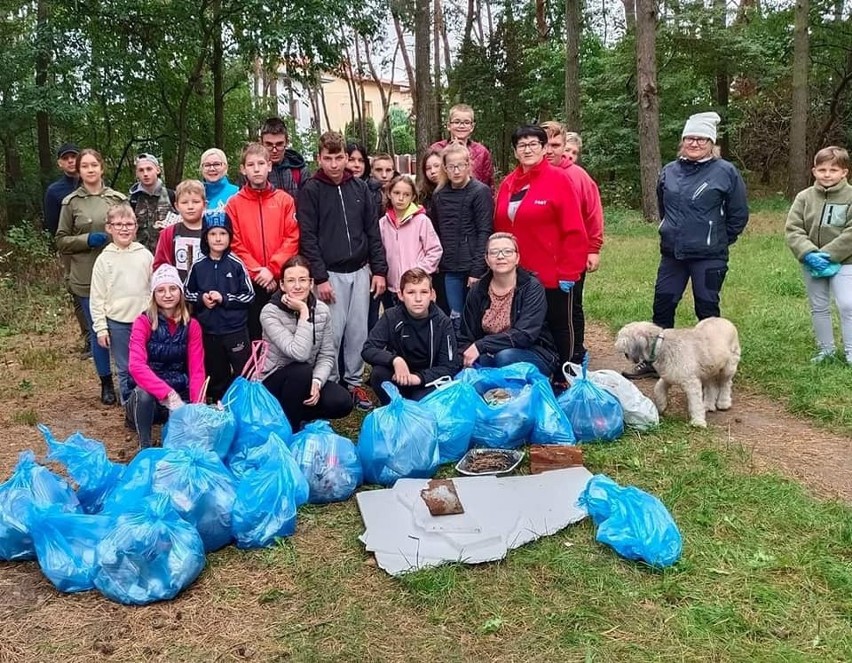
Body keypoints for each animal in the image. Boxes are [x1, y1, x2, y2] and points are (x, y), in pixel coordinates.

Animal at [616, 318, 744, 430]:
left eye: (623, 336)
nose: (616, 345)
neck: (661, 346)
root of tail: (726, 321)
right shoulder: (668, 376)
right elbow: (658, 388)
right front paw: (661, 407)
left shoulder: (691, 383)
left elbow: (695, 404)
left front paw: (698, 422)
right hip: (708, 370)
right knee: (711, 386)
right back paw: (708, 405)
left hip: (728, 367)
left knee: (726, 384)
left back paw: (724, 403)